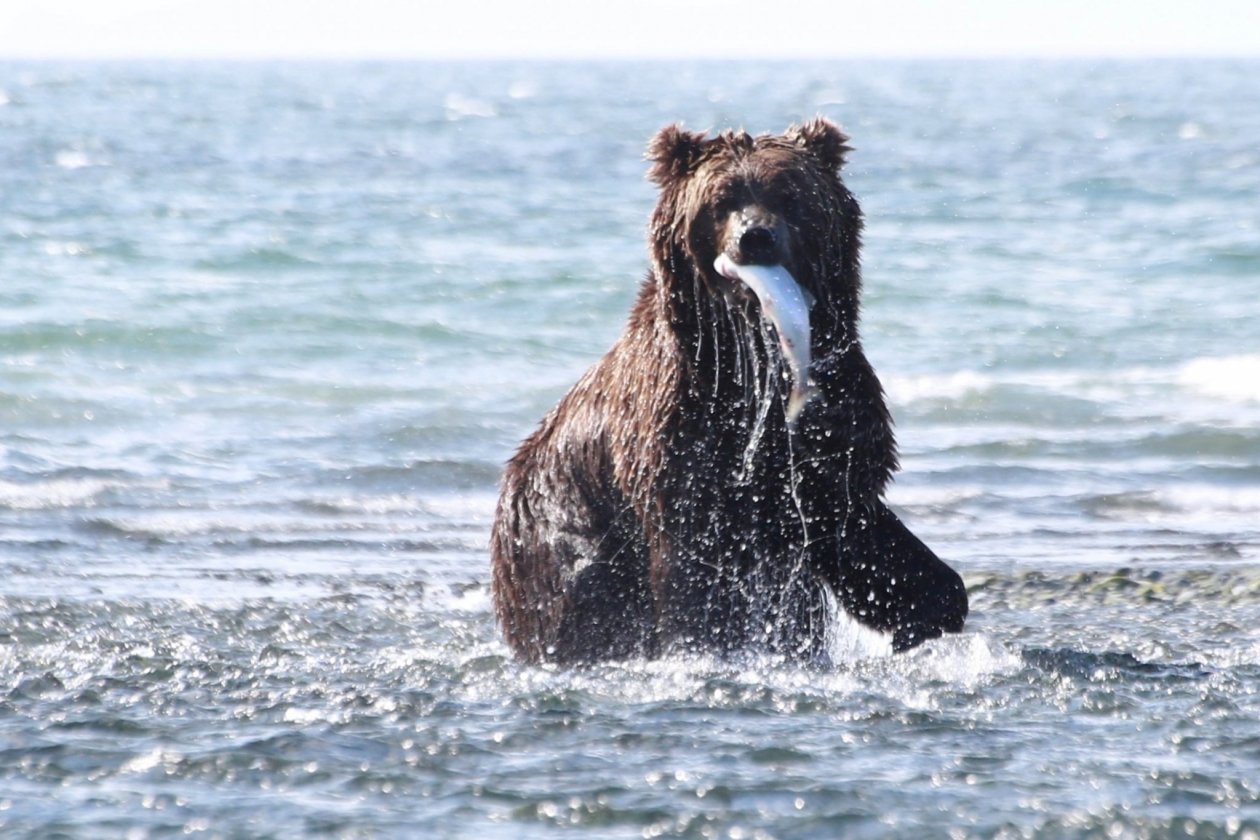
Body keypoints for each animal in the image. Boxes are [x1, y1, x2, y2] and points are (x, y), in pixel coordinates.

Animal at [491, 117, 967, 665]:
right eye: (721, 198)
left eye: (789, 193)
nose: (755, 236)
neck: (752, 363)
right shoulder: (681, 440)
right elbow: (694, 570)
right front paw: (711, 640)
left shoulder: (832, 434)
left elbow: (859, 526)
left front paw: (925, 608)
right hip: (559, 533)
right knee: (587, 599)